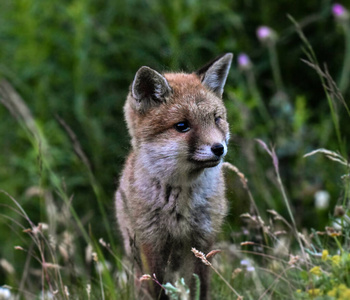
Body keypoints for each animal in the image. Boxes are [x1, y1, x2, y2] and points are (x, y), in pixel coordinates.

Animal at [116, 52, 234, 298]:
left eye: (216, 119)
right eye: (182, 126)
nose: (219, 148)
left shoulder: (202, 241)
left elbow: (200, 288)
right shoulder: (151, 245)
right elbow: (157, 290)